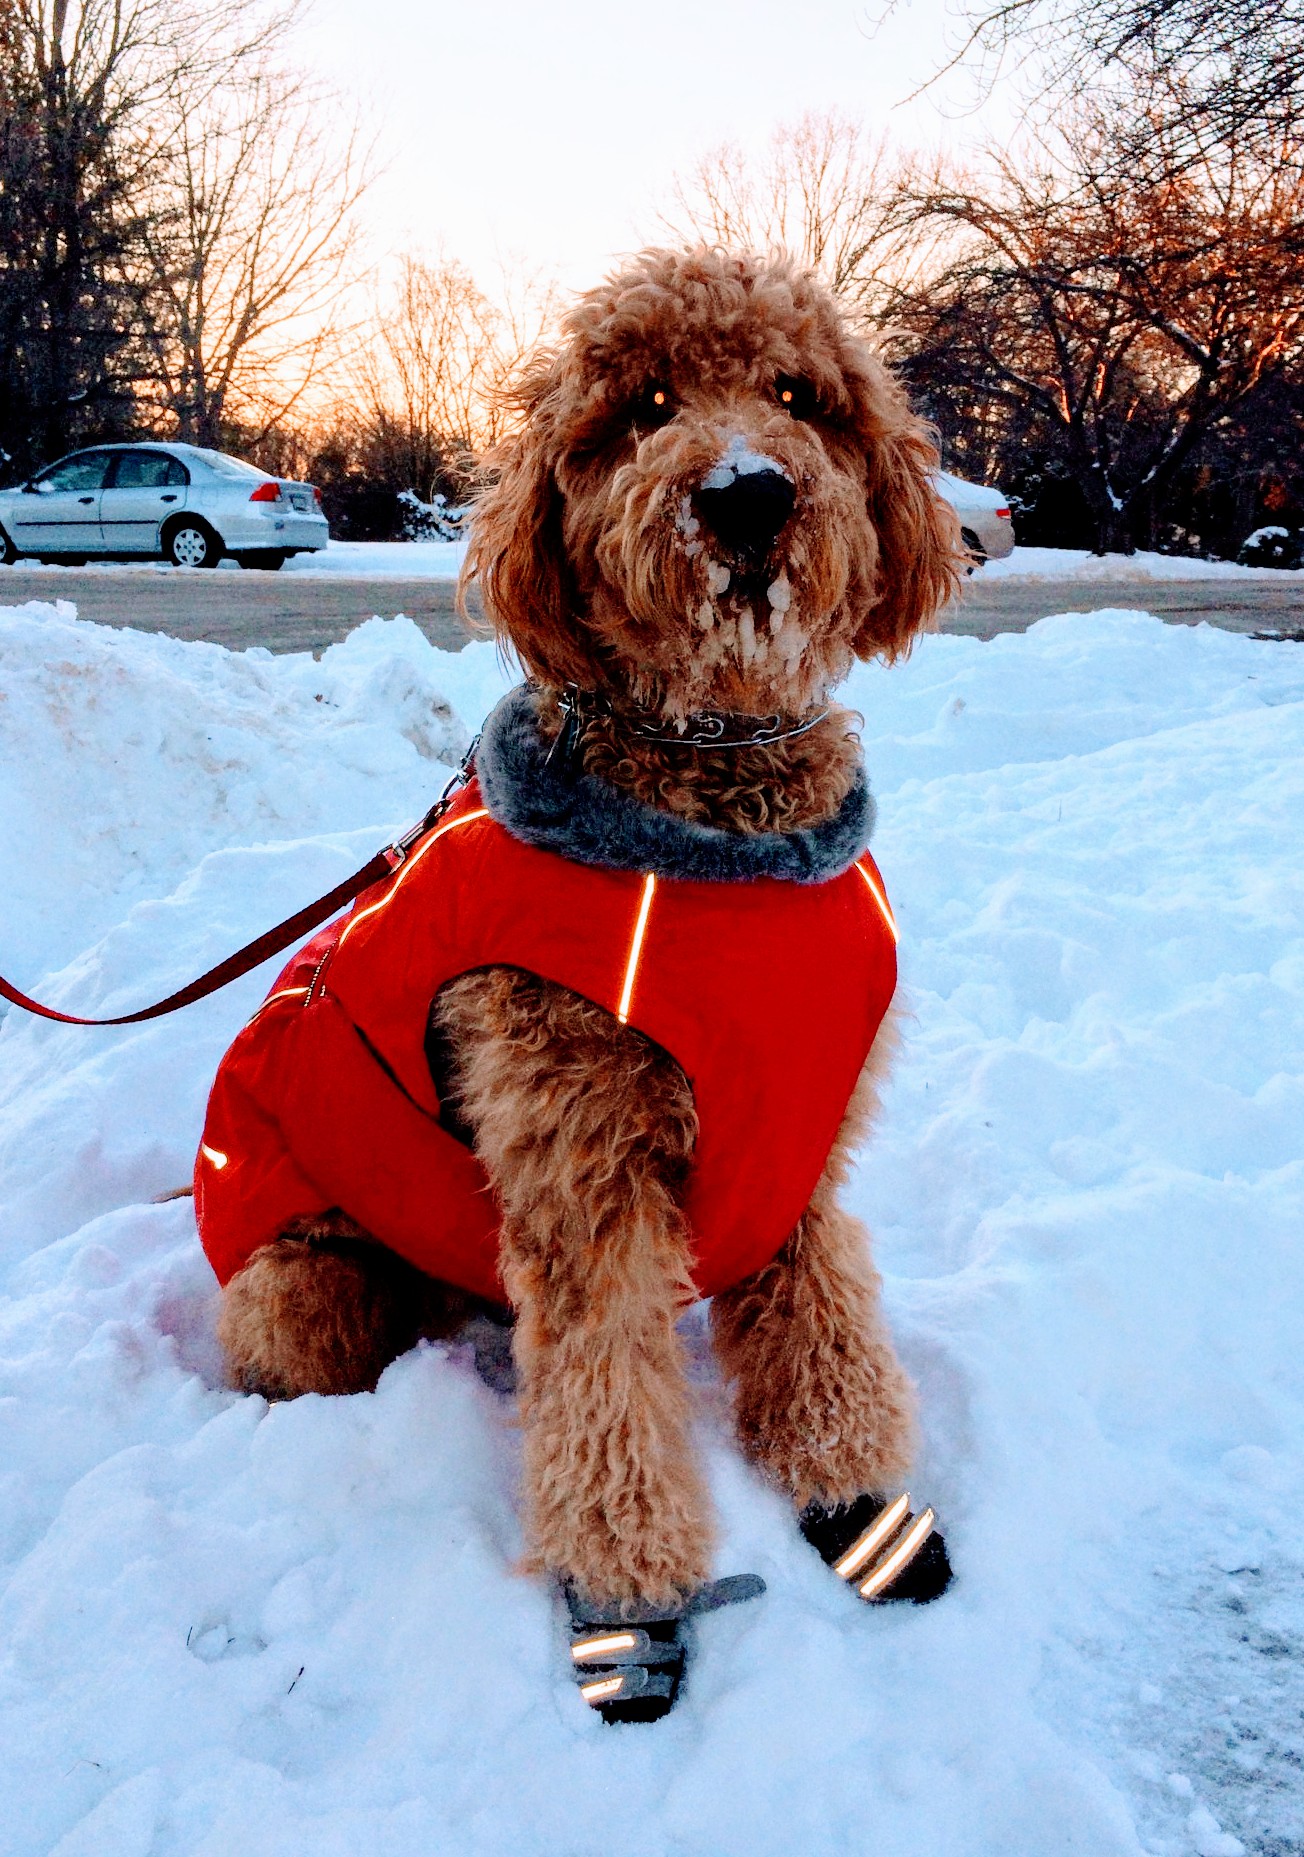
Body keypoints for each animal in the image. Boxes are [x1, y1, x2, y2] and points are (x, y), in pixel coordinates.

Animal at [198, 246, 965, 1723]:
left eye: (800, 396)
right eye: (646, 404)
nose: (747, 493)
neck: (720, 824)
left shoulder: (802, 1121)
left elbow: (822, 1320)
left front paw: (858, 1503)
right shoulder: (579, 1158)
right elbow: (608, 1396)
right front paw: (628, 1598)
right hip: (303, 1283)